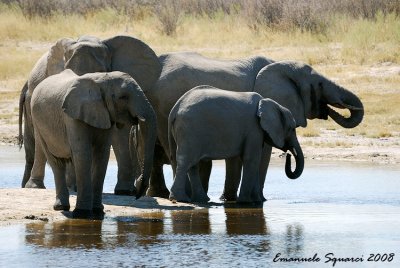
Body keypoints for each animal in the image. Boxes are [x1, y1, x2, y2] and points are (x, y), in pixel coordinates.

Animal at [19, 34, 161, 196]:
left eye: (100, 72)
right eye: (68, 71)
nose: (138, 190)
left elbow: (120, 135)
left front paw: (124, 191)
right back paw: (37, 186)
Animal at [29, 70, 157, 219]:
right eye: (123, 97)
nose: (136, 194)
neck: (101, 80)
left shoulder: (105, 115)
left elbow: (101, 155)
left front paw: (97, 211)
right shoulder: (72, 116)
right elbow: (83, 153)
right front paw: (82, 214)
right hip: (38, 124)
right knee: (56, 162)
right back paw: (61, 207)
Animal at [166, 86, 304, 203]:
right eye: (292, 129)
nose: (288, 155)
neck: (271, 103)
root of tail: (174, 109)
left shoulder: (256, 132)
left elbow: (254, 160)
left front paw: (259, 201)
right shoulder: (254, 129)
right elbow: (252, 159)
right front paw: (246, 202)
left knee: (192, 164)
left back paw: (202, 200)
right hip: (190, 130)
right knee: (185, 161)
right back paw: (181, 199)